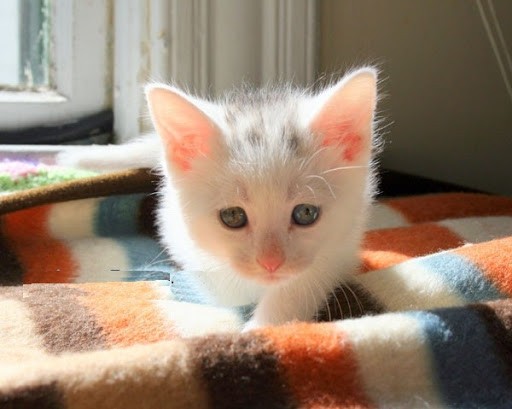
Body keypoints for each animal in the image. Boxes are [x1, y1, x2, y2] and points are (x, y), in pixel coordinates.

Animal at [61, 67, 380, 328]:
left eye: (305, 213)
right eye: (233, 216)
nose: (271, 264)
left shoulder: (344, 241)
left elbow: (305, 280)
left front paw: (266, 324)